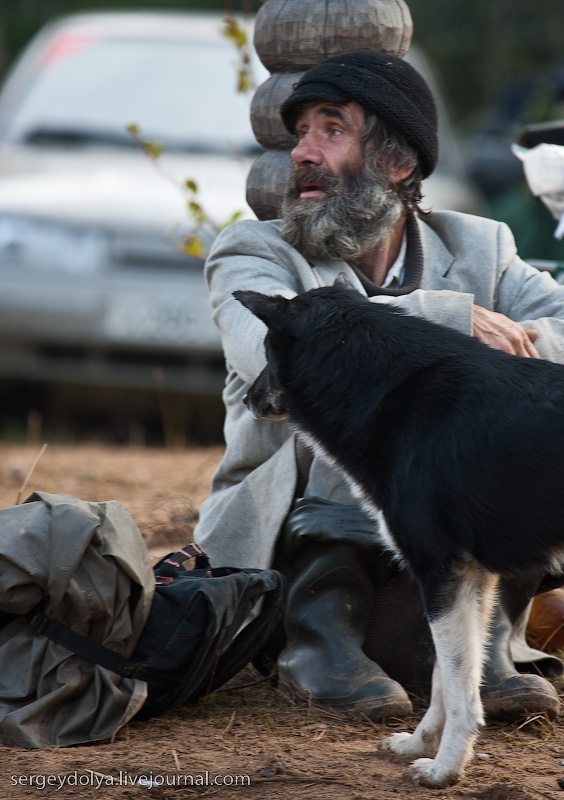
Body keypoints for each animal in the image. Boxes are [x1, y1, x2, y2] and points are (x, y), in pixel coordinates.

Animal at [235, 282, 564, 788]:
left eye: (268, 350)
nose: (249, 399)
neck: (392, 391)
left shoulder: (438, 570)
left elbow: (456, 686)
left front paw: (445, 768)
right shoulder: (468, 578)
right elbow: (449, 680)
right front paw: (420, 744)